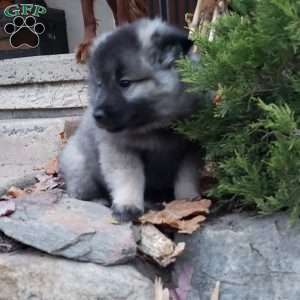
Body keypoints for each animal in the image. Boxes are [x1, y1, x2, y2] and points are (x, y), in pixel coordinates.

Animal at [59, 18, 204, 220]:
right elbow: (129, 177)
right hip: (79, 166)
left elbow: (186, 177)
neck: (156, 125)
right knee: (79, 194)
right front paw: (128, 205)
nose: (97, 115)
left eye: (124, 83)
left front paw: (187, 201)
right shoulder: (121, 149)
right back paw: (100, 200)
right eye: (100, 84)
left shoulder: (191, 148)